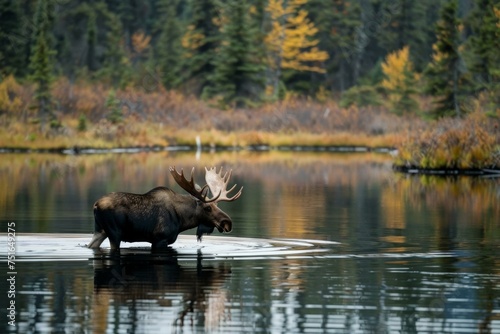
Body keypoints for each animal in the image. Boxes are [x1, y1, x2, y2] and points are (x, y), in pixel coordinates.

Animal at [88, 166, 244, 249]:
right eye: (207, 208)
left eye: (217, 205)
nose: (227, 222)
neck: (182, 221)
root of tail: (95, 205)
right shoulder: (159, 239)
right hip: (115, 233)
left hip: (100, 231)